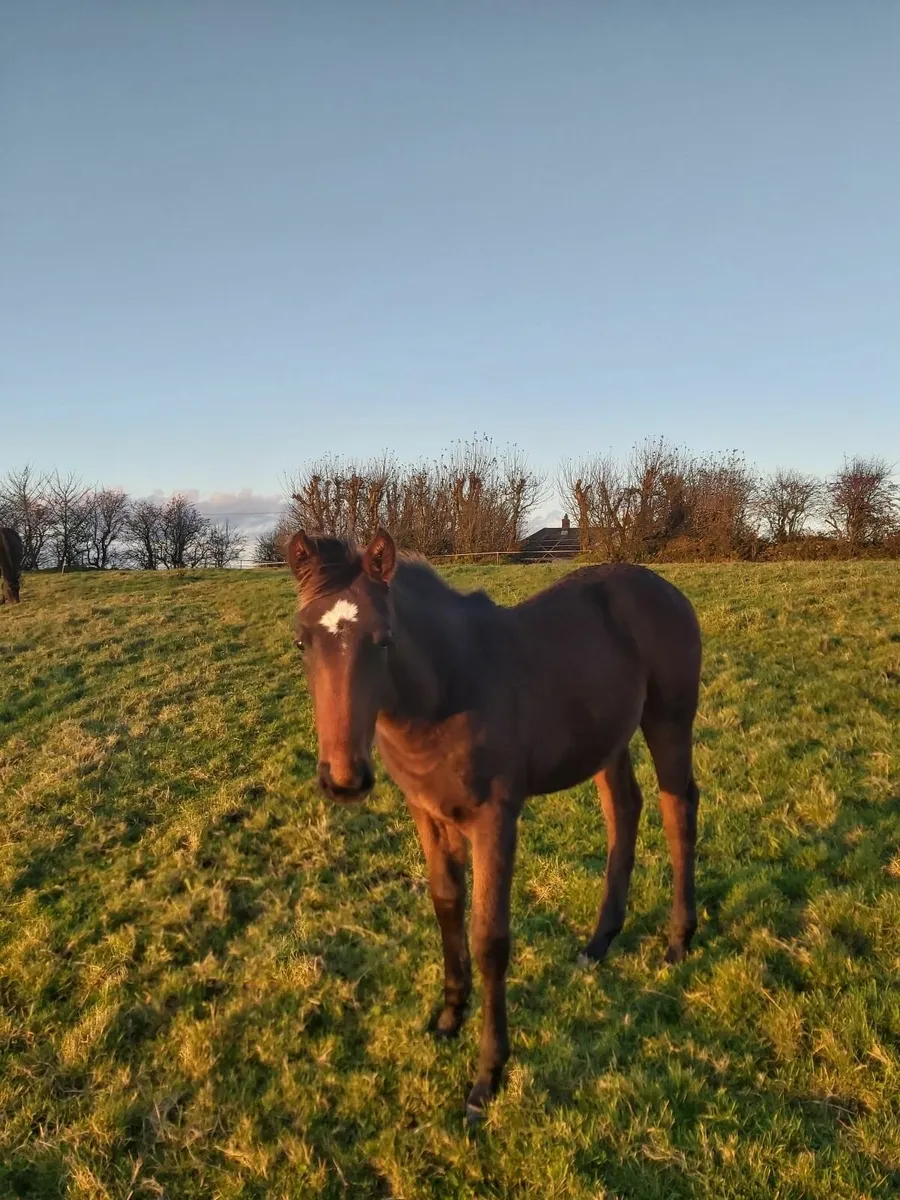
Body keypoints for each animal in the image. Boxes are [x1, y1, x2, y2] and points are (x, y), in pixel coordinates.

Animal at [287, 528, 702, 1122]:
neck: (449, 687)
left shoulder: (496, 819)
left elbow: (490, 937)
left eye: (384, 639)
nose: (344, 780)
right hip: (608, 741)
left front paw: (487, 1076)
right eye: (301, 642)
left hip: (670, 722)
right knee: (624, 810)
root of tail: (664, 587)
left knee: (678, 810)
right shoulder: (428, 813)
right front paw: (448, 1017)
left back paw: (678, 940)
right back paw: (600, 941)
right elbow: (446, 906)